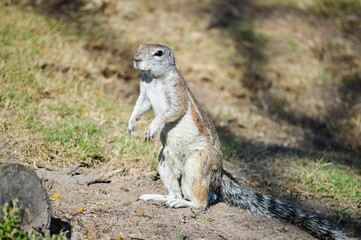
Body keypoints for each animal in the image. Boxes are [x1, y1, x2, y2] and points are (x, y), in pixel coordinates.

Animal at [126, 43, 348, 240]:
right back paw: (161, 197)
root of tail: (219, 173)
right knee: (177, 192)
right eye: (140, 46)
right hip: (164, 160)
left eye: (158, 53)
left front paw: (153, 126)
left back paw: (184, 204)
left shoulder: (177, 90)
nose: (136, 59)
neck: (155, 78)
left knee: (200, 202)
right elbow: (140, 107)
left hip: (197, 165)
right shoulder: (144, 92)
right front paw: (131, 124)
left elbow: (173, 110)